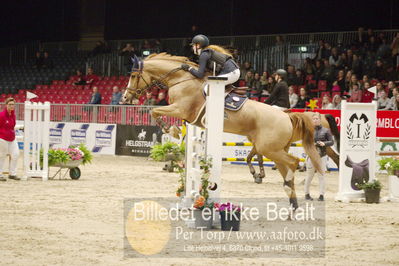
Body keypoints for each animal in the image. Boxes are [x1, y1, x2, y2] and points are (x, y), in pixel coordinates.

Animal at [123, 53, 324, 209]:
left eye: (133, 75)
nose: (125, 98)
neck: (181, 79)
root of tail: (286, 117)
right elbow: (158, 114)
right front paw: (173, 131)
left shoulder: (180, 109)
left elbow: (154, 111)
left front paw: (170, 130)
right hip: (271, 148)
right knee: (281, 163)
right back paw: (292, 203)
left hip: (269, 148)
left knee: (293, 162)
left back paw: (290, 186)